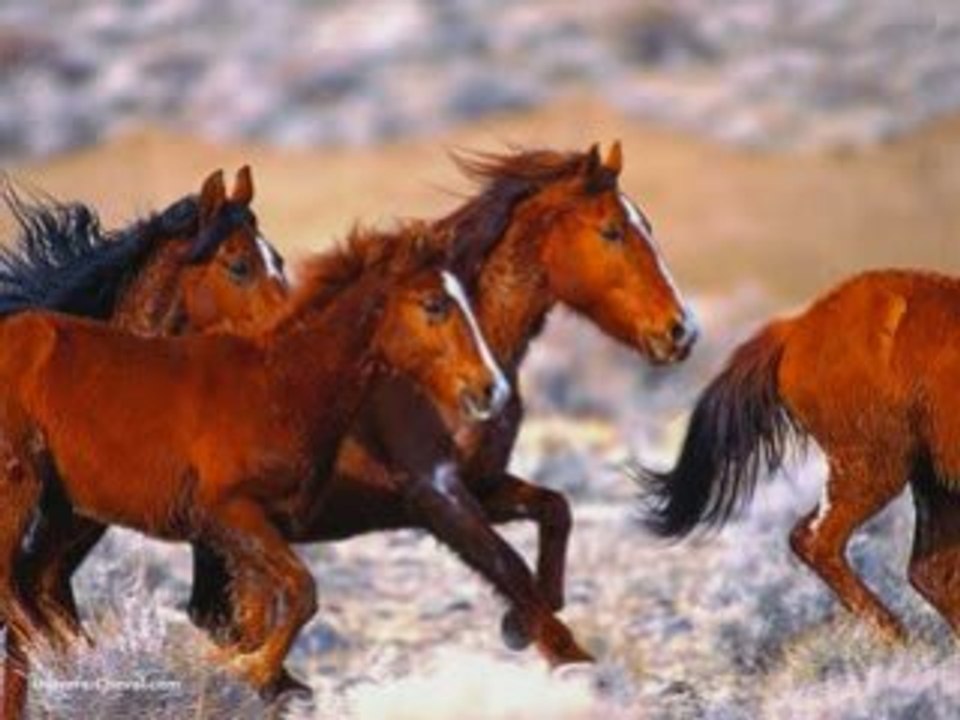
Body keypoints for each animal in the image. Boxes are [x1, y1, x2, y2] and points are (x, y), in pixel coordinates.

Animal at [1, 222, 508, 700]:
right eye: (435, 305)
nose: (492, 389)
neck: (277, 388)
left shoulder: (258, 532)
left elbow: (259, 612)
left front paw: (247, 670)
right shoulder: (228, 512)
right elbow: (302, 592)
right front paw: (248, 669)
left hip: (65, 510)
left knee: (36, 580)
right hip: (20, 485)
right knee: (12, 582)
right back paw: (63, 657)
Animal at [186, 141, 697, 666]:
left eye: (646, 227)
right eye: (612, 231)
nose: (681, 330)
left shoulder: (479, 483)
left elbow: (555, 512)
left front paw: (519, 624)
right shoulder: (435, 493)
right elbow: (510, 567)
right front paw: (561, 653)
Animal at [639, 269, 960, 642]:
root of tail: (796, 328)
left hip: (927, 477)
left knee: (929, 571)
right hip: (877, 467)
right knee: (819, 541)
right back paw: (895, 634)